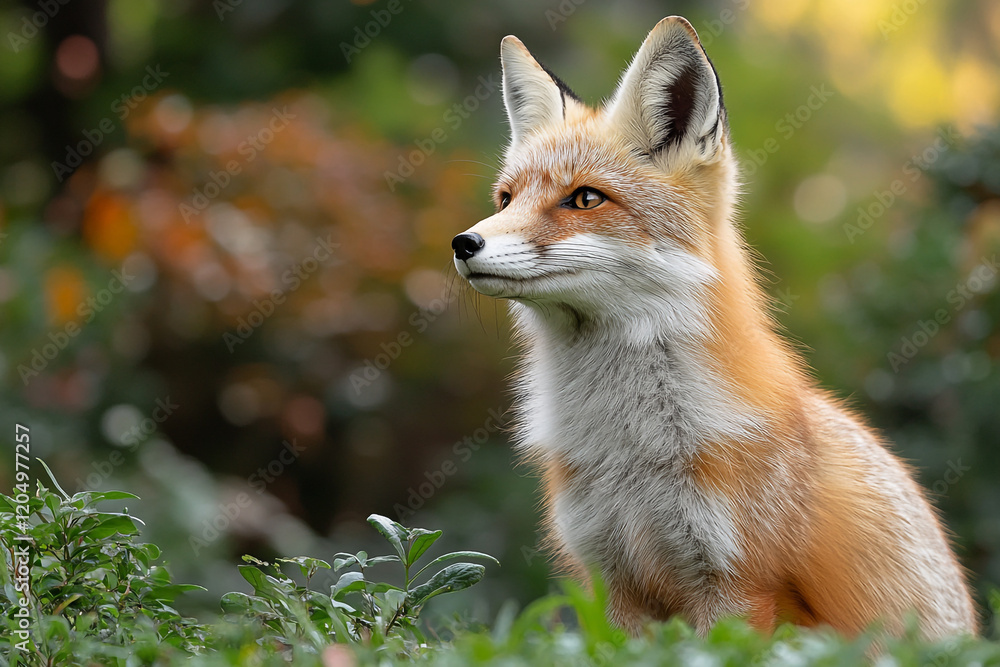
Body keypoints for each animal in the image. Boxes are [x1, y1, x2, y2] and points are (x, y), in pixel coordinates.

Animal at [450, 16, 977, 639]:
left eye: (585, 198)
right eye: (506, 199)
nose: (463, 243)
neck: (631, 451)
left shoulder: (737, 585)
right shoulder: (612, 582)